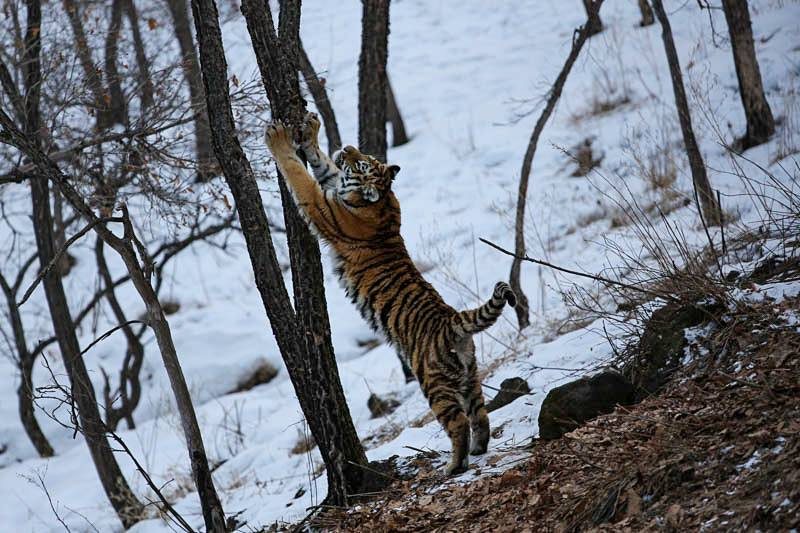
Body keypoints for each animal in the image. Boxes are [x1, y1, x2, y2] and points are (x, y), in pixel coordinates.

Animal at [266, 113, 516, 474]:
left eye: (362, 164)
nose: (348, 147)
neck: (381, 199)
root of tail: (453, 320)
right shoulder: (332, 185)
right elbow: (322, 164)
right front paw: (311, 129)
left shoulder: (321, 206)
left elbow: (297, 172)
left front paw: (278, 137)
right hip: (470, 377)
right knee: (480, 414)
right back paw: (480, 449)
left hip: (433, 384)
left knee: (457, 423)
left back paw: (454, 465)